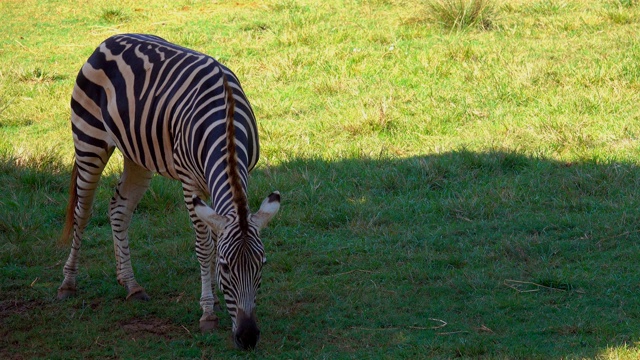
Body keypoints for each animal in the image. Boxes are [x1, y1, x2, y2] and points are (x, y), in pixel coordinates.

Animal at [57, 33, 280, 348]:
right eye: (226, 267)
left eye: (262, 265)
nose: (248, 337)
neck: (226, 124)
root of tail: (109, 40)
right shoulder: (190, 183)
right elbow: (204, 247)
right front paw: (208, 313)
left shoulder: (237, 177)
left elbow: (215, 237)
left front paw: (214, 302)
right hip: (89, 143)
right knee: (82, 212)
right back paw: (68, 283)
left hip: (137, 156)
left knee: (119, 209)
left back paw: (130, 284)